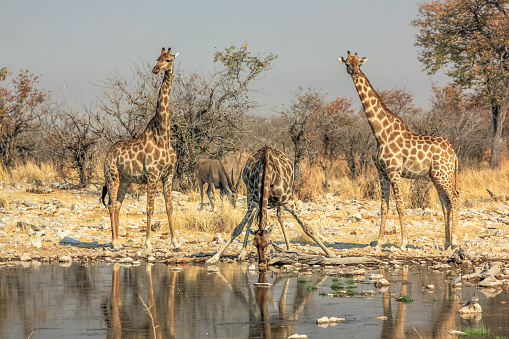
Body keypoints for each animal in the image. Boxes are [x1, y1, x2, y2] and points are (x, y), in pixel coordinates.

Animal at [100, 47, 179, 252]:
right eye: (157, 58)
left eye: (168, 60)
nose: (155, 69)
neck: (163, 137)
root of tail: (108, 154)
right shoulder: (152, 175)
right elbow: (150, 208)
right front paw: (148, 243)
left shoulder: (168, 175)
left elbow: (169, 207)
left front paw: (176, 242)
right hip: (112, 176)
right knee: (111, 205)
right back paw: (115, 243)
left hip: (125, 180)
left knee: (117, 205)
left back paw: (117, 241)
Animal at [204, 146, 336, 266]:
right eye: (255, 244)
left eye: (269, 243)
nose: (262, 262)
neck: (268, 174)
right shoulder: (255, 202)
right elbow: (238, 228)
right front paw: (214, 258)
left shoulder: (288, 201)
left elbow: (307, 228)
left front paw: (330, 253)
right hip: (249, 193)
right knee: (251, 220)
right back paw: (242, 253)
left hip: (284, 196)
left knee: (280, 217)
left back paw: (289, 249)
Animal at [338, 51, 460, 251]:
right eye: (347, 63)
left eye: (359, 64)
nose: (354, 71)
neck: (380, 133)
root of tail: (454, 154)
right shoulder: (382, 173)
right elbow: (383, 206)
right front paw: (379, 243)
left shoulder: (394, 171)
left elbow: (400, 206)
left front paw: (403, 243)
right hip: (436, 175)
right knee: (445, 202)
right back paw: (446, 243)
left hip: (444, 174)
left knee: (455, 198)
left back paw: (455, 241)